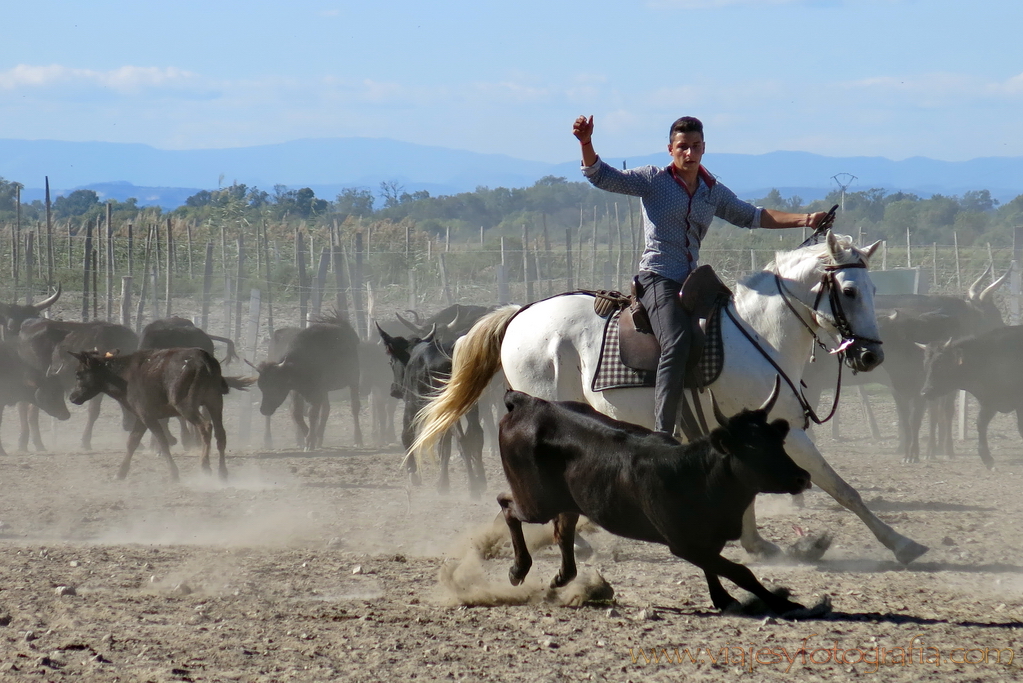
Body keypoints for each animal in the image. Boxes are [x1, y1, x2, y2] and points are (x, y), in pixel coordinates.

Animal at [68, 349, 253, 482]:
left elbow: (162, 442)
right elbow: (132, 442)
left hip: (185, 404)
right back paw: (223, 472)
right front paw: (120, 473)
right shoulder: (141, 416)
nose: (72, 397)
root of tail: (205, 360)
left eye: (78, 374)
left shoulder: (147, 414)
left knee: (205, 426)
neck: (121, 378)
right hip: (214, 400)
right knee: (221, 434)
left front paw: (174, 473)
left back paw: (205, 466)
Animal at [413, 232, 928, 564]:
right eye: (849, 290)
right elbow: (842, 488)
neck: (758, 336)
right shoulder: (790, 435)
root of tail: (521, 313)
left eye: (875, 288)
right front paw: (902, 544)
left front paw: (757, 543)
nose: (871, 355)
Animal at [497, 382, 814, 617]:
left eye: (778, 441)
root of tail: (530, 403)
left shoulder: (705, 541)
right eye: (753, 449)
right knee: (507, 505)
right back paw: (517, 569)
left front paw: (723, 599)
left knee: (562, 531)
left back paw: (562, 576)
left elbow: (714, 566)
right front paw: (786, 603)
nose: (802, 478)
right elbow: (740, 571)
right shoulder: (682, 543)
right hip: (535, 501)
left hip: (567, 500)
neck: (697, 475)